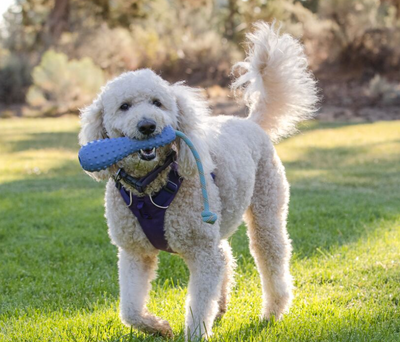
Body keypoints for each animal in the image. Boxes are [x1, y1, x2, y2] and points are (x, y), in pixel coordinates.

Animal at [79, 22, 318, 340]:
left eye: (157, 103)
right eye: (124, 106)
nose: (148, 125)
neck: (150, 187)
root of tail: (250, 122)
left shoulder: (202, 253)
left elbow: (198, 307)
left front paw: (193, 330)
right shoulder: (134, 252)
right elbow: (130, 310)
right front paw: (158, 327)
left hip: (266, 211)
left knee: (271, 258)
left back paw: (272, 312)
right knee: (226, 257)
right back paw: (222, 305)